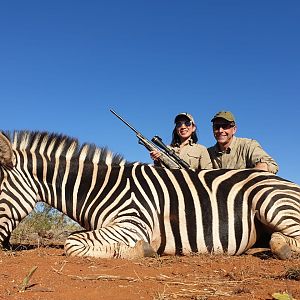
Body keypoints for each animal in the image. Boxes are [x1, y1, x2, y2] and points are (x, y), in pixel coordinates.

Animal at [0, 130, 298, 258]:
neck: (100, 187)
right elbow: (74, 238)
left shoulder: (132, 223)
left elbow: (71, 242)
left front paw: (139, 250)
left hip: (271, 202)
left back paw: (281, 249)